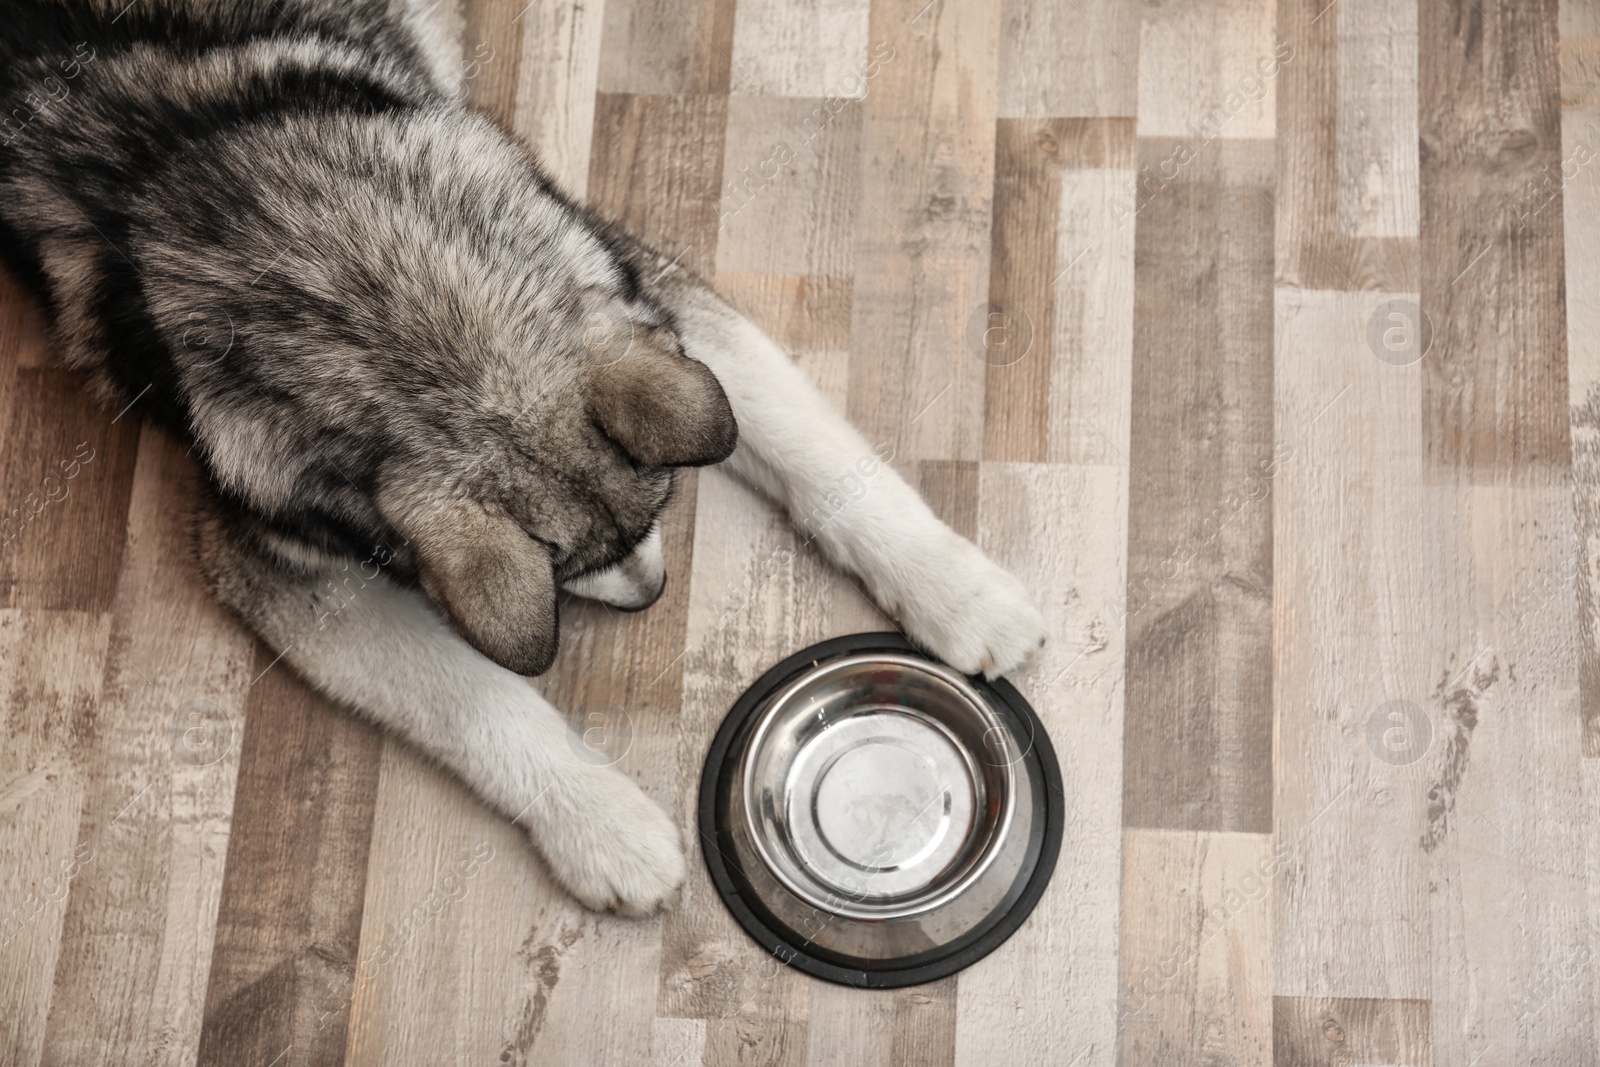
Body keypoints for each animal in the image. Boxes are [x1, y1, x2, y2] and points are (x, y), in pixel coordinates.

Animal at [0, 0, 1049, 921]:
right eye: (566, 564)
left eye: (658, 508)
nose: (654, 595)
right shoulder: (278, 560)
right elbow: (479, 703)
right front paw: (598, 821)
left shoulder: (653, 302)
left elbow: (828, 468)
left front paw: (959, 593)